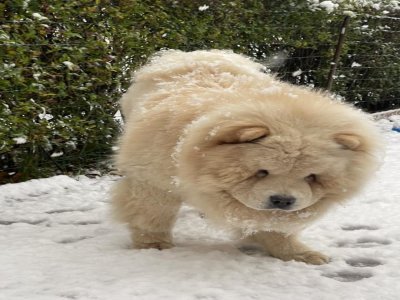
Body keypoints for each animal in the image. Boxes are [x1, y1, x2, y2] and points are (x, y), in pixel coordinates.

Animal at [111, 49, 382, 264]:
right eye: (261, 172)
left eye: (312, 177)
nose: (282, 200)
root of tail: (196, 54)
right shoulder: (153, 181)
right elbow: (153, 216)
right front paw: (154, 246)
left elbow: (274, 229)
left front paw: (298, 254)